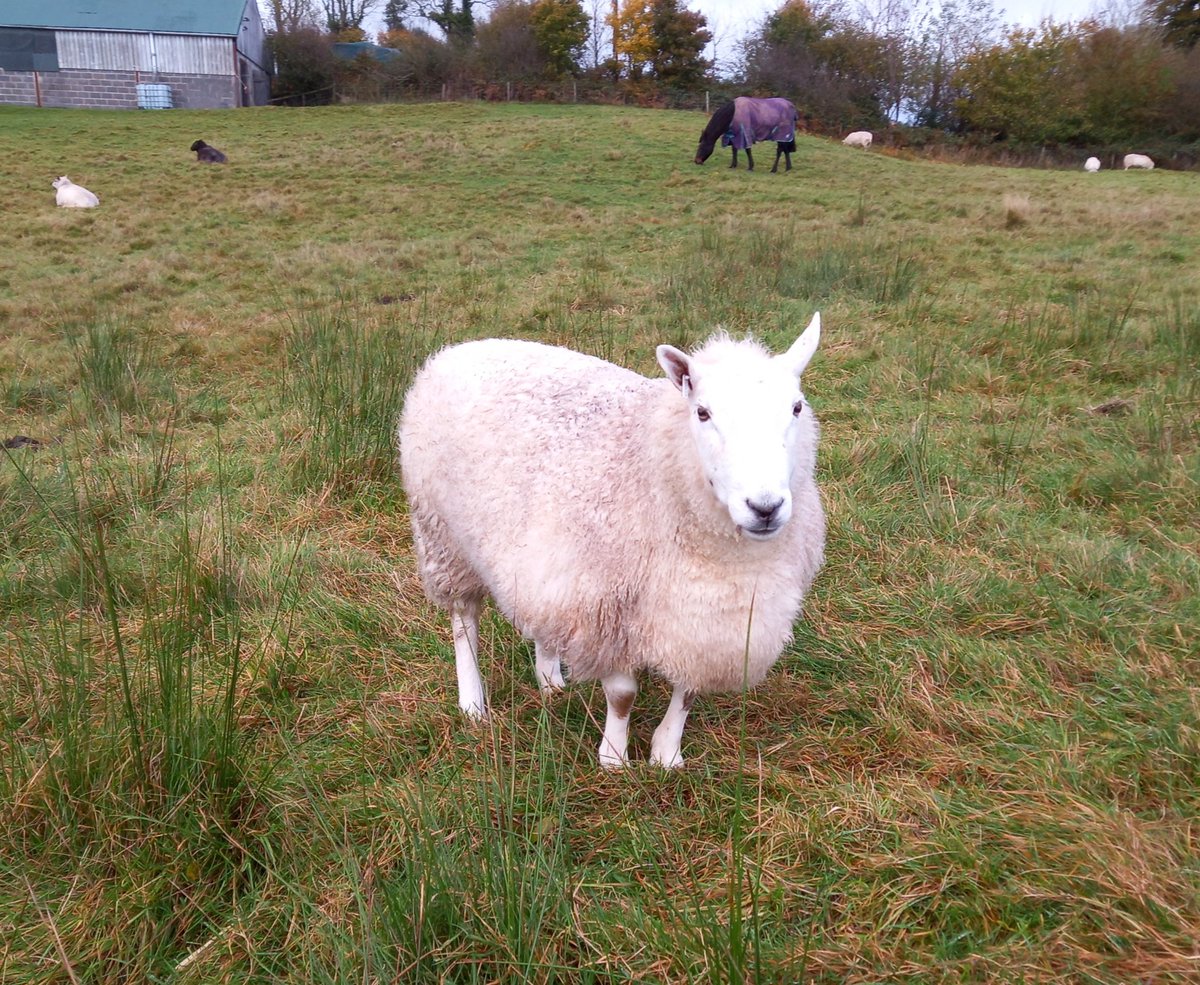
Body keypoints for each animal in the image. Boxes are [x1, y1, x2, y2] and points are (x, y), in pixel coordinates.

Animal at [398, 314, 830, 767]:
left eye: (797, 407)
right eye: (702, 412)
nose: (765, 507)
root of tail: (464, 347)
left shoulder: (702, 622)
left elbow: (688, 692)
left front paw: (666, 754)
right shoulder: (606, 607)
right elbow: (622, 695)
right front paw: (614, 758)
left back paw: (550, 680)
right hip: (442, 535)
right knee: (464, 623)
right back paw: (473, 703)